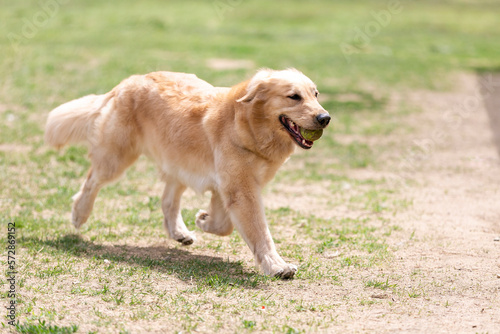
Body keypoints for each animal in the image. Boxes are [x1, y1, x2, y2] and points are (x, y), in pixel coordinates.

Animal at [45, 69, 330, 278]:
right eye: (294, 96)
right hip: (116, 158)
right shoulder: (240, 189)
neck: (246, 125)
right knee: (91, 180)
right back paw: (79, 214)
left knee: (167, 201)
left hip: (179, 163)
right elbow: (260, 232)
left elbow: (224, 225)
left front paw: (203, 219)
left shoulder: (229, 185)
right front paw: (277, 265)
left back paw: (179, 232)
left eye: (315, 94)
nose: (325, 118)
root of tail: (128, 81)